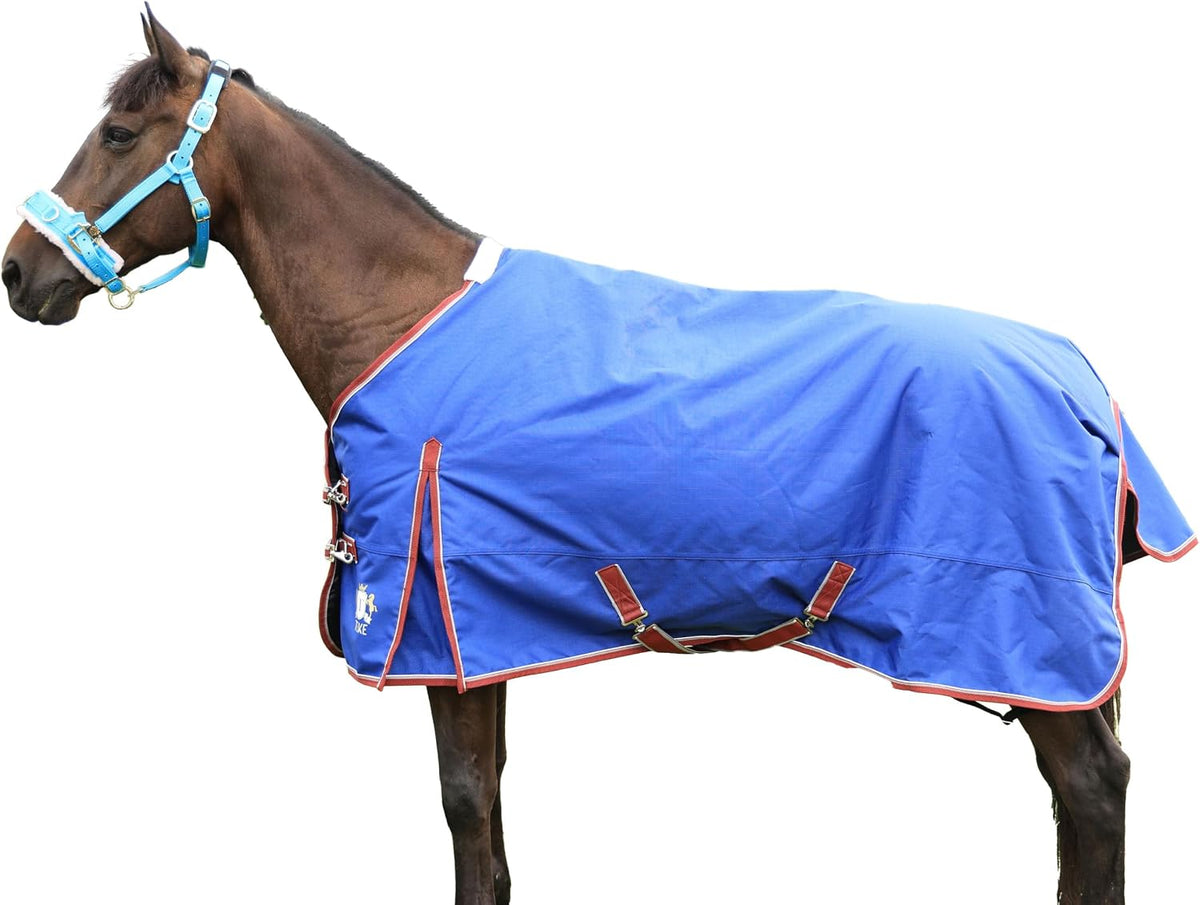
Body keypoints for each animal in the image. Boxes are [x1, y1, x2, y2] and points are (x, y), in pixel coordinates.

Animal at [4, 10, 1193, 904]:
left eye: (120, 132)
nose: (20, 273)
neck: (401, 316)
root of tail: (1082, 378)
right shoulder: (484, 636)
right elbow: (489, 809)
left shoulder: (439, 626)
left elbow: (465, 803)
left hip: (1033, 647)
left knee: (1093, 795)